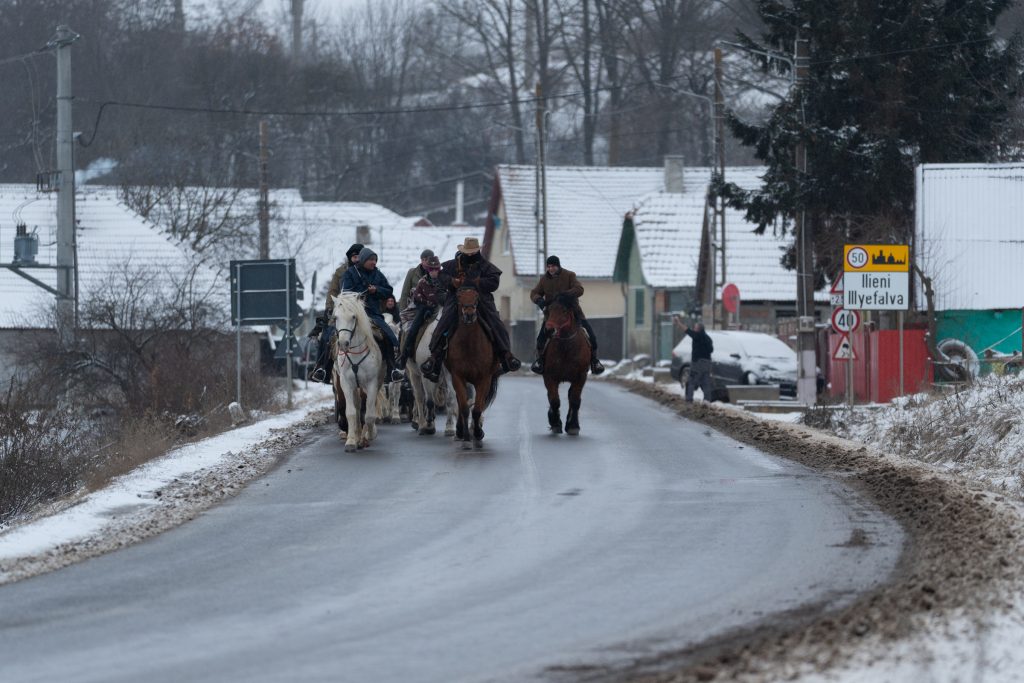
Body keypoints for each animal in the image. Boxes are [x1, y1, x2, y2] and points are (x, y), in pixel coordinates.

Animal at [331, 290, 385, 450]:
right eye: (336, 317)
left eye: (353, 316)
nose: (343, 343)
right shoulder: (346, 383)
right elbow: (351, 412)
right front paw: (350, 441)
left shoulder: (372, 383)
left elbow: (369, 414)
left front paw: (370, 435)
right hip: (355, 387)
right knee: (357, 407)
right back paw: (357, 437)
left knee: (367, 408)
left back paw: (364, 437)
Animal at [444, 286, 499, 446]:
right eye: (458, 297)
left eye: (476, 298)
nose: (469, 315)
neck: (470, 345)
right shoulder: (457, 377)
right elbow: (464, 407)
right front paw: (466, 436)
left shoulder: (484, 378)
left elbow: (477, 409)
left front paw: (478, 433)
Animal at [540, 292, 589, 432]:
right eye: (547, 311)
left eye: (564, 311)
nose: (549, 330)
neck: (566, 347)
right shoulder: (549, 376)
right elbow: (554, 400)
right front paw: (555, 422)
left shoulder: (581, 377)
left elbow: (575, 400)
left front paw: (573, 426)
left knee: (572, 396)